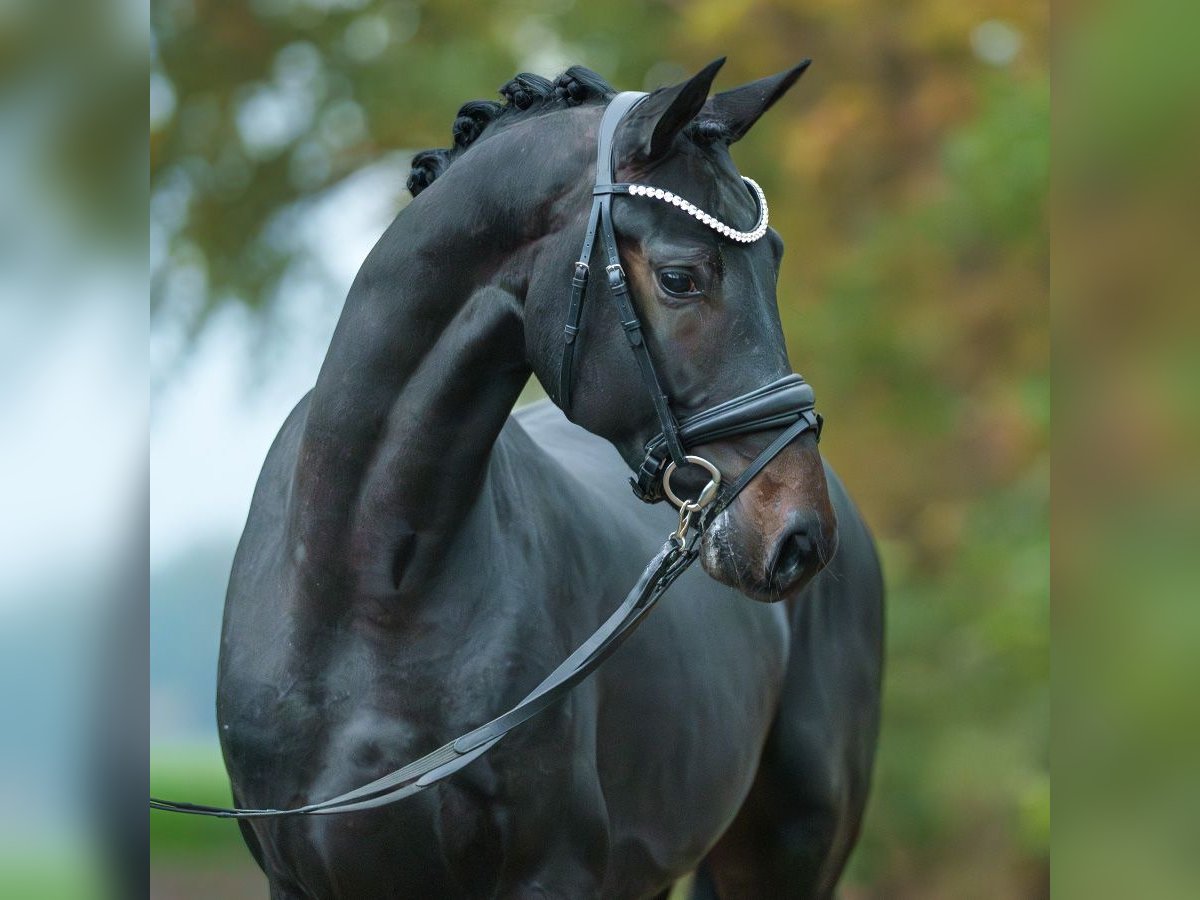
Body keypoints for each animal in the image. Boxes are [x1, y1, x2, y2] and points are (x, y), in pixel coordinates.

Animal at [218, 60, 883, 897]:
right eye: (679, 277)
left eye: (777, 260)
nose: (798, 536)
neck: (367, 591)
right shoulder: (298, 880)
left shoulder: (552, 873)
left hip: (794, 852)